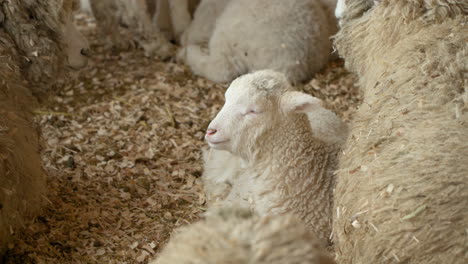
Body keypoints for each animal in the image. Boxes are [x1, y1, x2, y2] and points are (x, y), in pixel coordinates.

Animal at [176, 0, 336, 83]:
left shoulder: (209, 10)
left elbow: (197, 24)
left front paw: (184, 38)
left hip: (230, 31)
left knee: (221, 69)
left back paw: (187, 53)